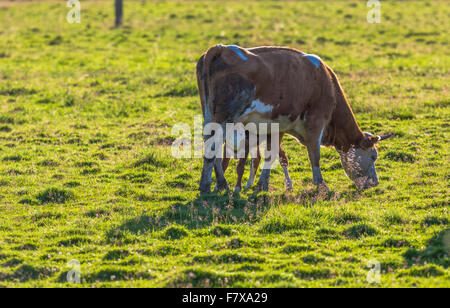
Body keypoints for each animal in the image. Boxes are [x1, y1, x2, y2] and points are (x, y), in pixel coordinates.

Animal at [196, 44, 390, 194]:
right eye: (374, 156)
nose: (375, 183)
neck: (326, 83)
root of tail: (220, 48)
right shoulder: (316, 122)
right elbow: (314, 154)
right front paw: (321, 185)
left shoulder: (276, 126)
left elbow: (272, 154)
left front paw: (262, 184)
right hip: (224, 118)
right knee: (213, 146)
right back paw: (208, 185)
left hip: (209, 115)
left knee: (213, 148)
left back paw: (220, 185)